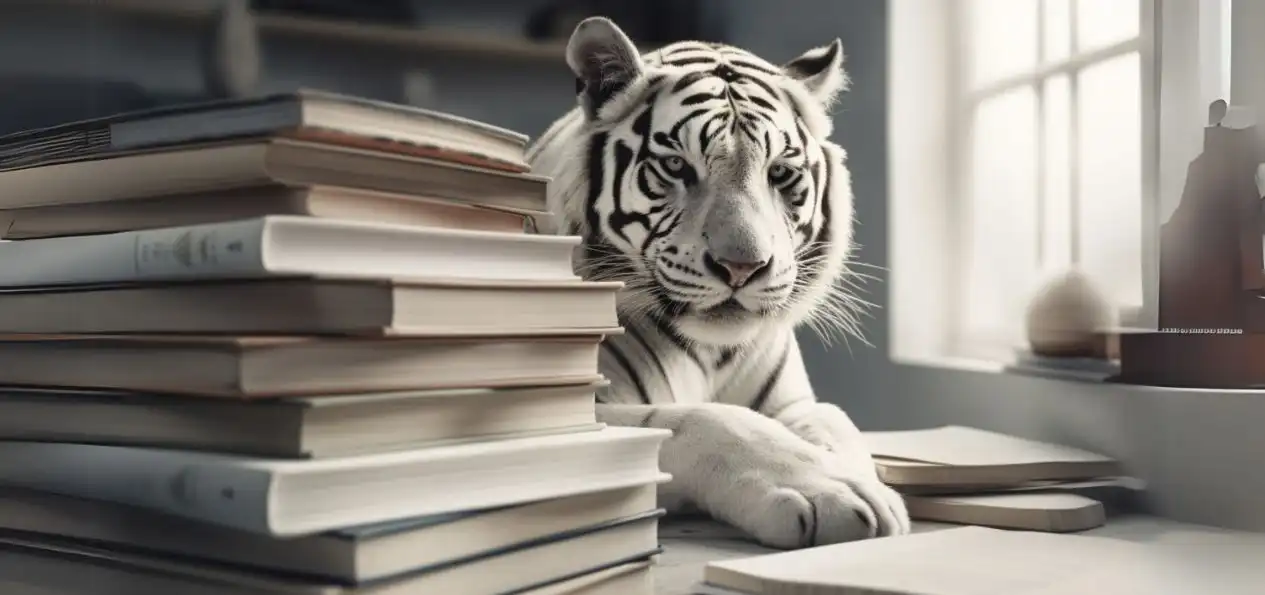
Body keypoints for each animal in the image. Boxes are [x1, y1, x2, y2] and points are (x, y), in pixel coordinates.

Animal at [526, 17, 910, 549]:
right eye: (675, 166)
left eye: (780, 173)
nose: (742, 267)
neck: (714, 353)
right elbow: (702, 420)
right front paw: (833, 491)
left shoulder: (793, 402)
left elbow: (836, 420)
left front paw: (865, 481)